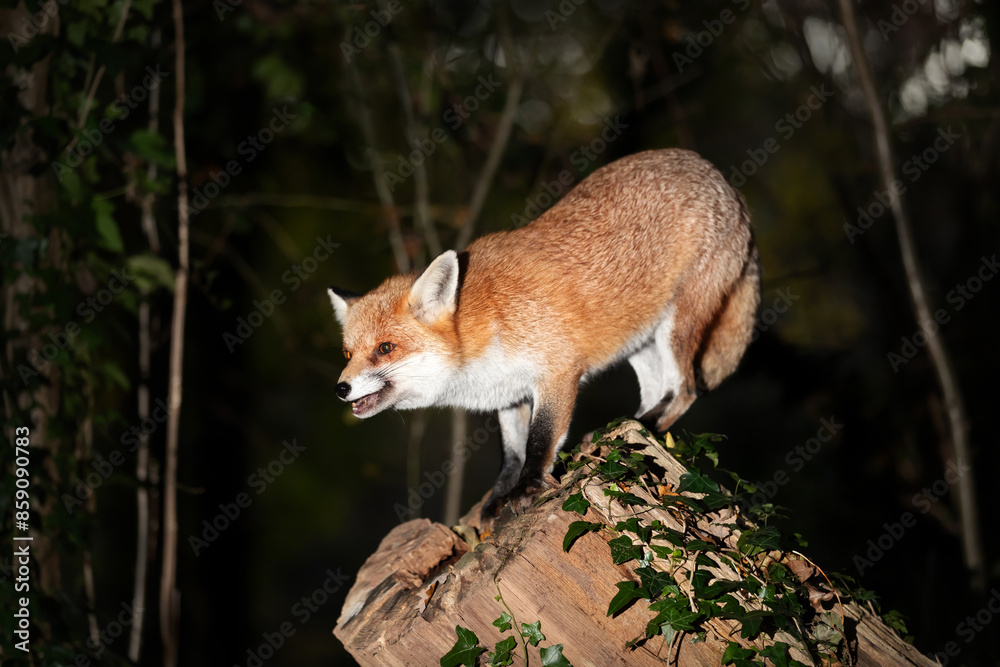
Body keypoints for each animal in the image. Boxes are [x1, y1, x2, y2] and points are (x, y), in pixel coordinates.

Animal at [328, 149, 760, 529]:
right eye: (348, 353)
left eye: (385, 348)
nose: (340, 388)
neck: (488, 320)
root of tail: (721, 178)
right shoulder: (508, 394)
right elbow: (511, 455)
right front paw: (499, 499)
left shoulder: (557, 371)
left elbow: (540, 441)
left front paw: (528, 489)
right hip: (639, 341)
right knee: (659, 389)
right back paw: (628, 427)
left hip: (676, 327)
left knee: (686, 390)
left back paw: (641, 427)